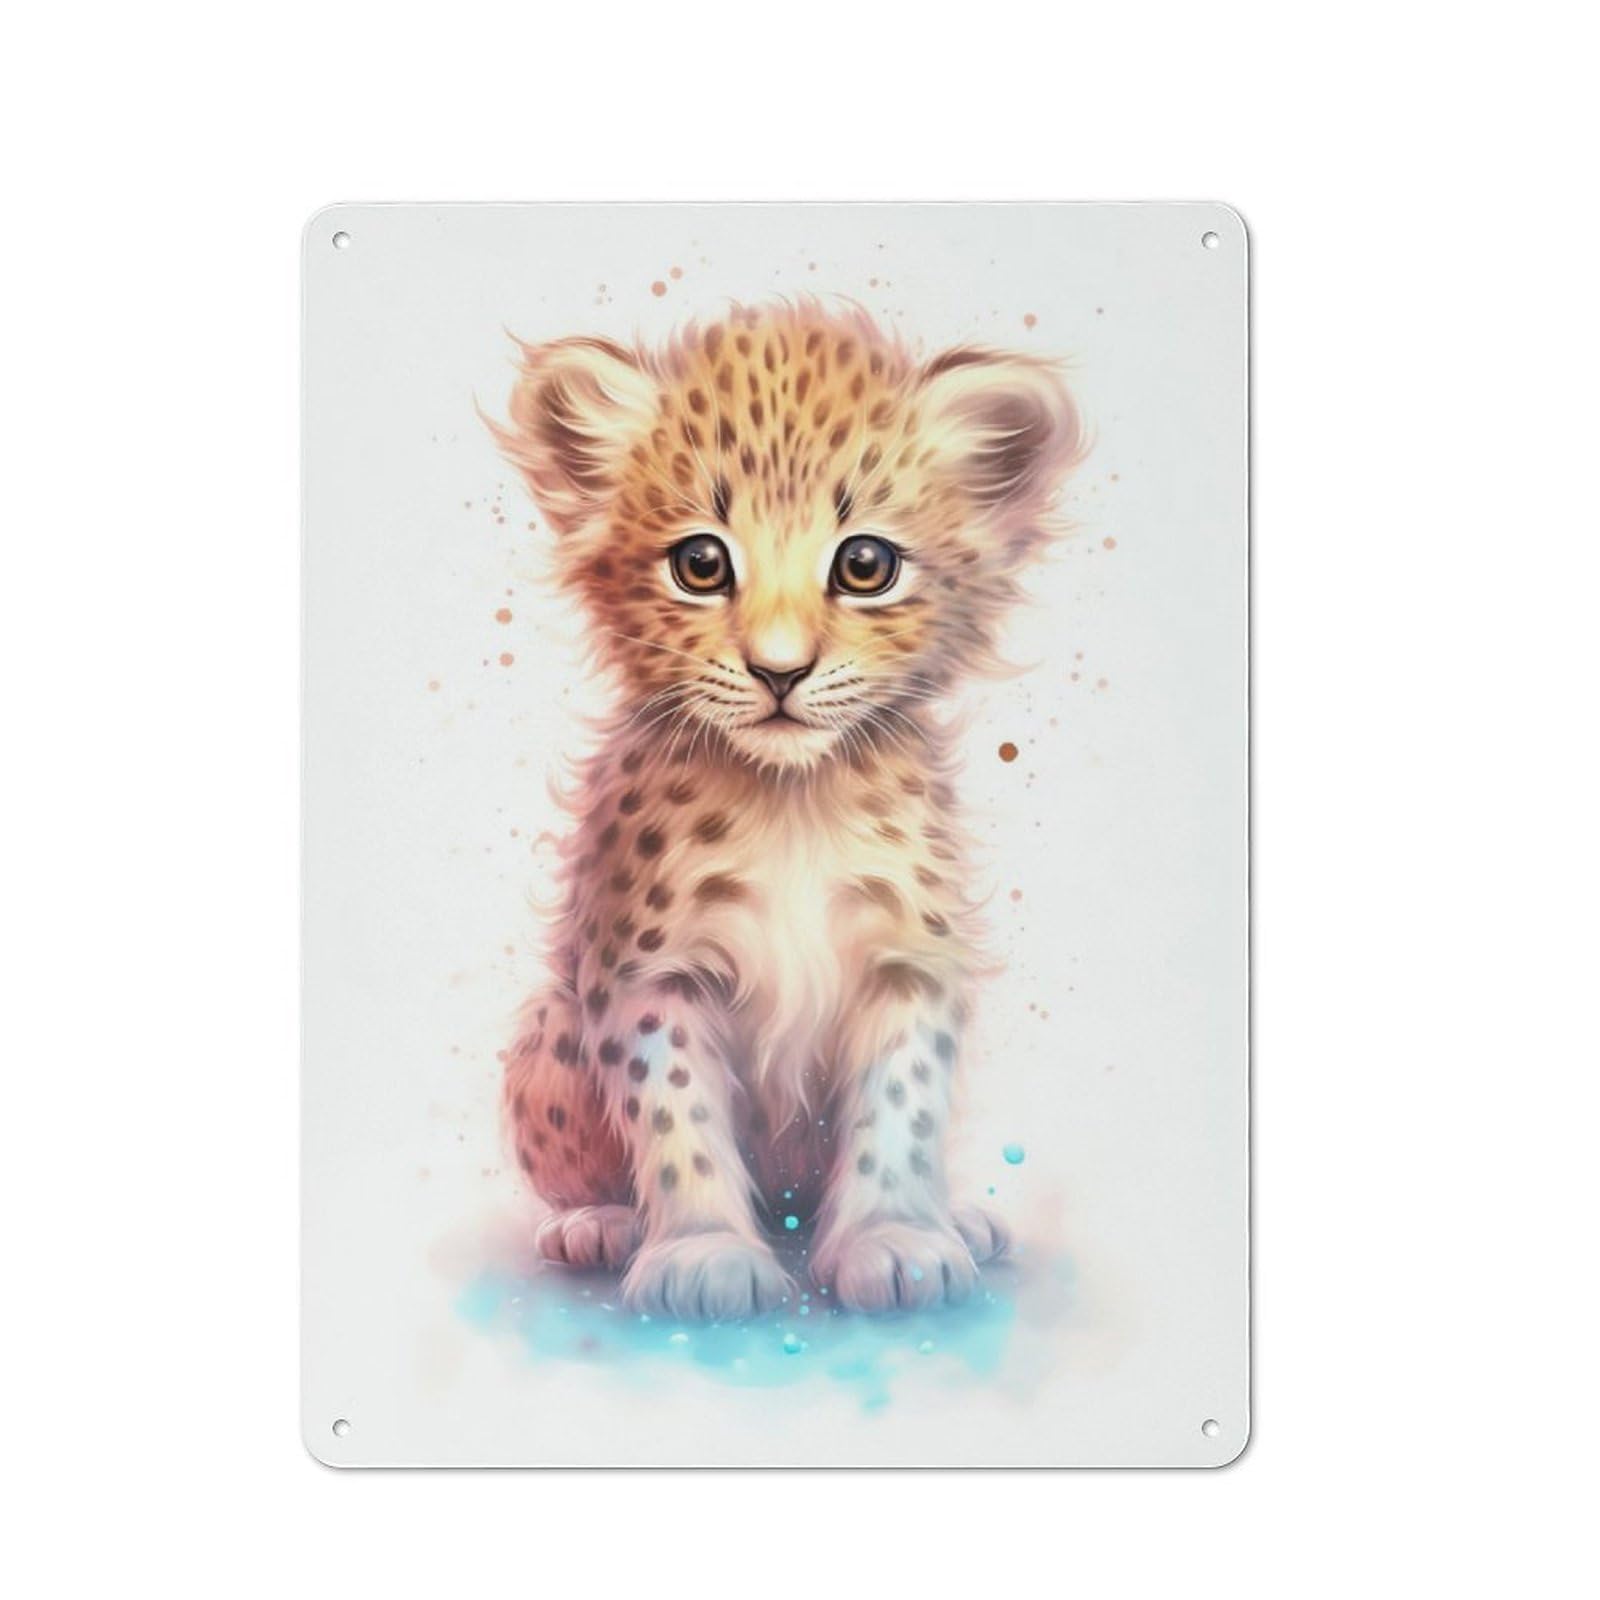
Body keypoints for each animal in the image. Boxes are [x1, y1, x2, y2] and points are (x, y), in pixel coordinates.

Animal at [486, 299, 1084, 1319]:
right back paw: (597, 1224)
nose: (779, 671)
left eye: (866, 564)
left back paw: (958, 1219)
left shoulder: (907, 962)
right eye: (699, 563)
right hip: (548, 1036)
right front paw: (703, 1255)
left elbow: (902, 1107)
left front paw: (897, 1241)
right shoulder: (653, 972)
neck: (793, 800)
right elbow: (676, 1117)